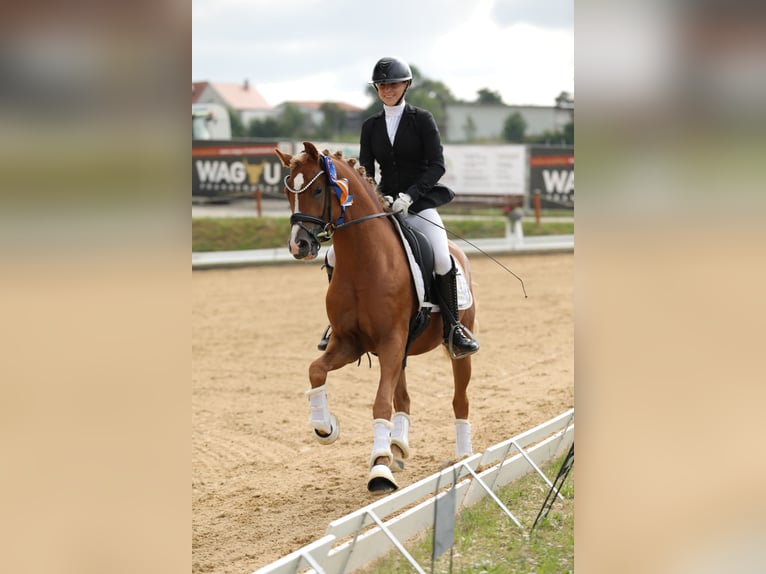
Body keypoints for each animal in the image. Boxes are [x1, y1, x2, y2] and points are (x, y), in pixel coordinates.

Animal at [276, 143, 480, 496]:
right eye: (290, 192)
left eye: (317, 190)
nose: (298, 245)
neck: (364, 261)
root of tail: (456, 250)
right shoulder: (350, 343)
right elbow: (316, 371)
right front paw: (325, 427)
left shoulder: (390, 341)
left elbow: (381, 403)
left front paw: (379, 470)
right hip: (400, 352)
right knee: (404, 397)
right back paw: (397, 446)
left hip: (451, 347)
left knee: (459, 398)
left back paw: (463, 455)